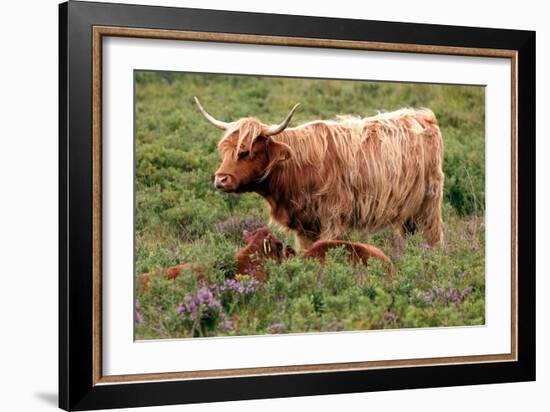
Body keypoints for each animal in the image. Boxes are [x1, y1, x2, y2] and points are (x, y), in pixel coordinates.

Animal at [196, 98, 446, 249]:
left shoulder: (333, 220)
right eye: (224, 150)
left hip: (428, 204)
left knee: (433, 236)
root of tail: (424, 117)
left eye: (246, 152)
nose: (220, 179)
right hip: (408, 211)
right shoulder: (305, 226)